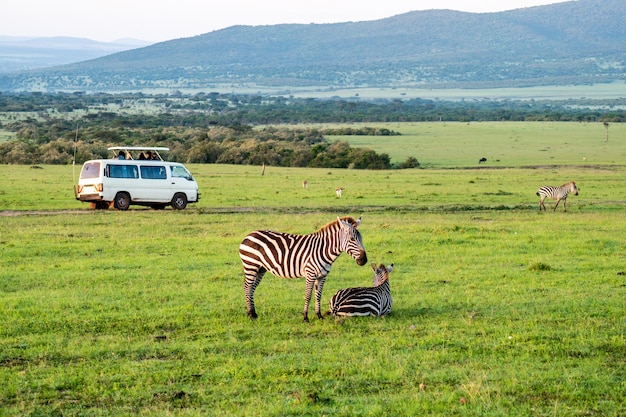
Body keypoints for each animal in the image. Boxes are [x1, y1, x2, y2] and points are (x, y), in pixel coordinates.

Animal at [238, 216, 366, 320]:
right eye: (352, 239)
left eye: (361, 238)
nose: (364, 260)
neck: (323, 249)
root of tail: (249, 235)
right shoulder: (310, 273)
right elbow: (308, 296)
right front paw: (305, 317)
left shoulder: (322, 276)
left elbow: (318, 295)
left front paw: (319, 316)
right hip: (250, 265)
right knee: (247, 287)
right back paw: (251, 315)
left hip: (260, 269)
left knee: (252, 288)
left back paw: (253, 313)